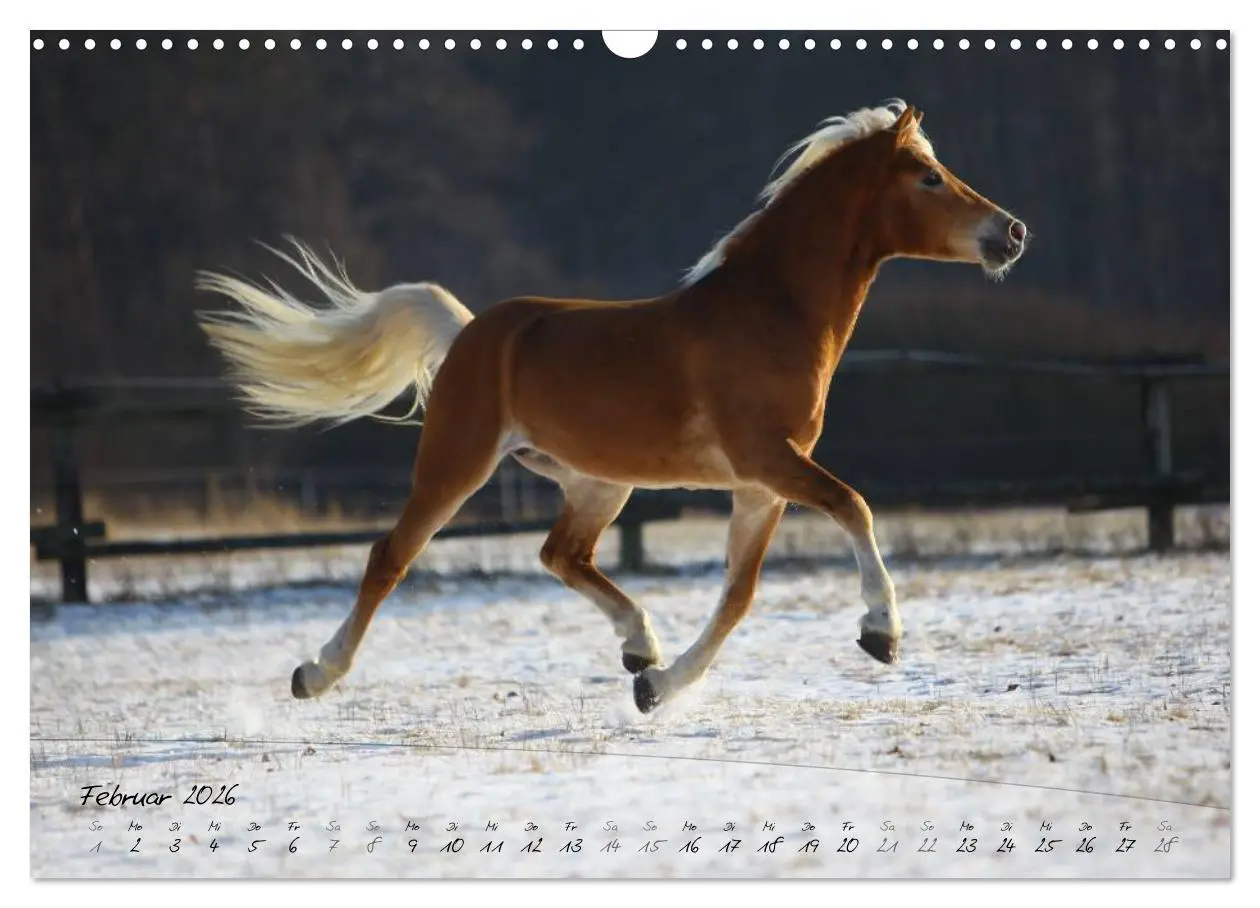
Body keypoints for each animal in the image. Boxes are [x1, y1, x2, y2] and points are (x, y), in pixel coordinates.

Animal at [196, 100, 1027, 714]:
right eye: (929, 177)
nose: (1012, 232)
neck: (770, 313)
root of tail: (469, 332)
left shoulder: (761, 486)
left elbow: (738, 596)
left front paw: (658, 687)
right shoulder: (770, 461)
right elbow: (854, 506)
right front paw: (883, 635)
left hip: (599, 482)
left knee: (561, 555)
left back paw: (640, 647)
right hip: (457, 466)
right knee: (389, 559)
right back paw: (315, 674)